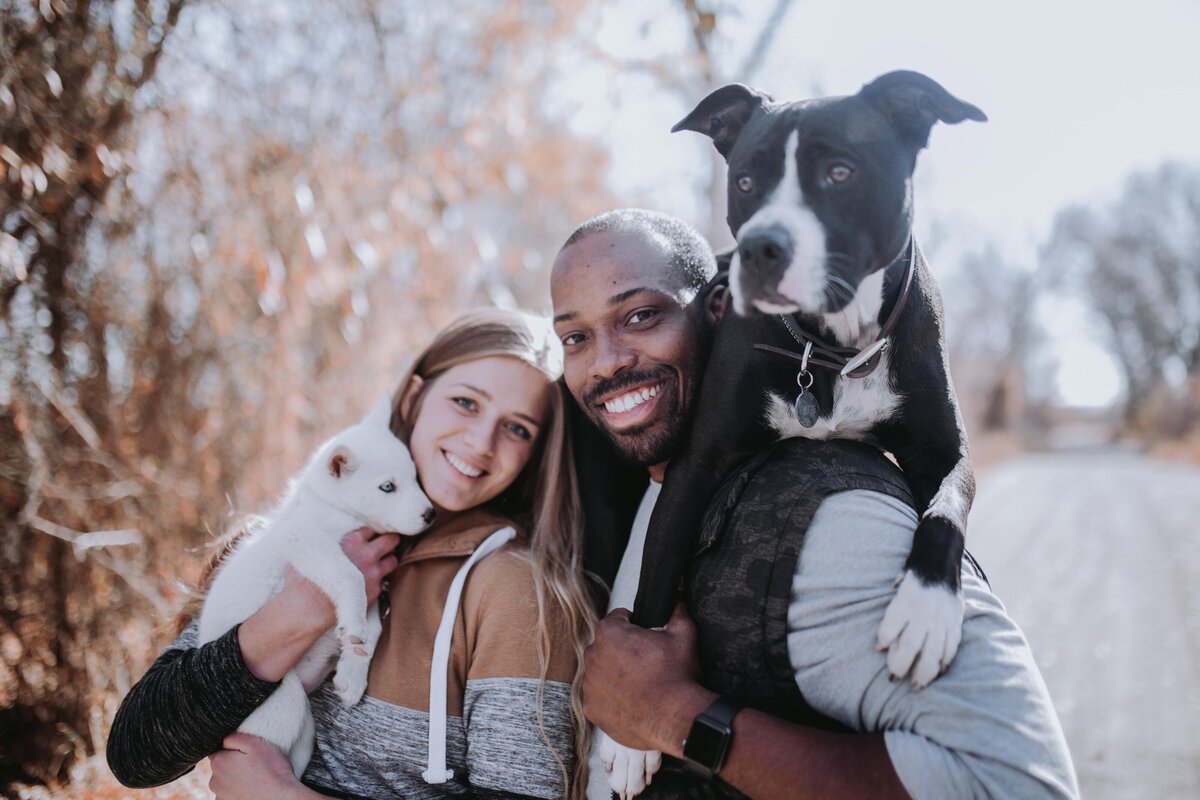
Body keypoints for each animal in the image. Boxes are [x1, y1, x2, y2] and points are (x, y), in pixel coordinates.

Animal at [198, 398, 436, 777]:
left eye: (415, 477)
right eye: (387, 487)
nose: (430, 514)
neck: (338, 510)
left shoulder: (373, 584)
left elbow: (373, 625)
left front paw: (354, 670)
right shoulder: (306, 539)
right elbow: (352, 578)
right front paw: (354, 637)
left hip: (305, 730)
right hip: (287, 702)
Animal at [638, 71, 984, 690]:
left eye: (839, 173)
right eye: (745, 182)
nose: (760, 248)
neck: (833, 348)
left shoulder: (945, 450)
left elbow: (946, 507)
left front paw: (926, 612)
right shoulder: (697, 462)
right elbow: (653, 588)